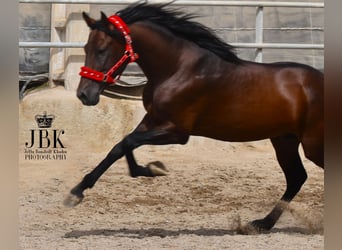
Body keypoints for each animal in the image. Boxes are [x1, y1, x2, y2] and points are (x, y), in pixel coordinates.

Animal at [64, 2, 324, 232]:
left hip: (312, 143)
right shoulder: (152, 120)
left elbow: (128, 142)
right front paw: (77, 192)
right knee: (296, 177)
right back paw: (261, 224)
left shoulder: (178, 132)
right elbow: (120, 146)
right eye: (85, 49)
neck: (178, 68)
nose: (84, 95)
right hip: (284, 140)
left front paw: (154, 168)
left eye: (102, 50)